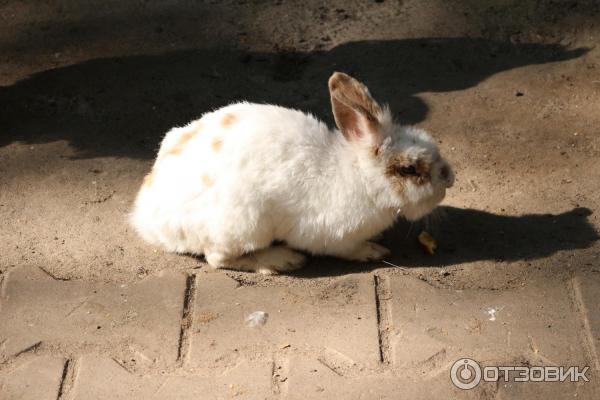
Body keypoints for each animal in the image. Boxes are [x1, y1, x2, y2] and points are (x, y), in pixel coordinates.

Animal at [129, 71, 452, 276]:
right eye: (409, 169)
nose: (449, 177)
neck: (360, 177)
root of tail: (147, 217)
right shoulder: (336, 237)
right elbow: (350, 249)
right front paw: (374, 251)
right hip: (244, 225)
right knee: (218, 258)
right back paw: (283, 261)